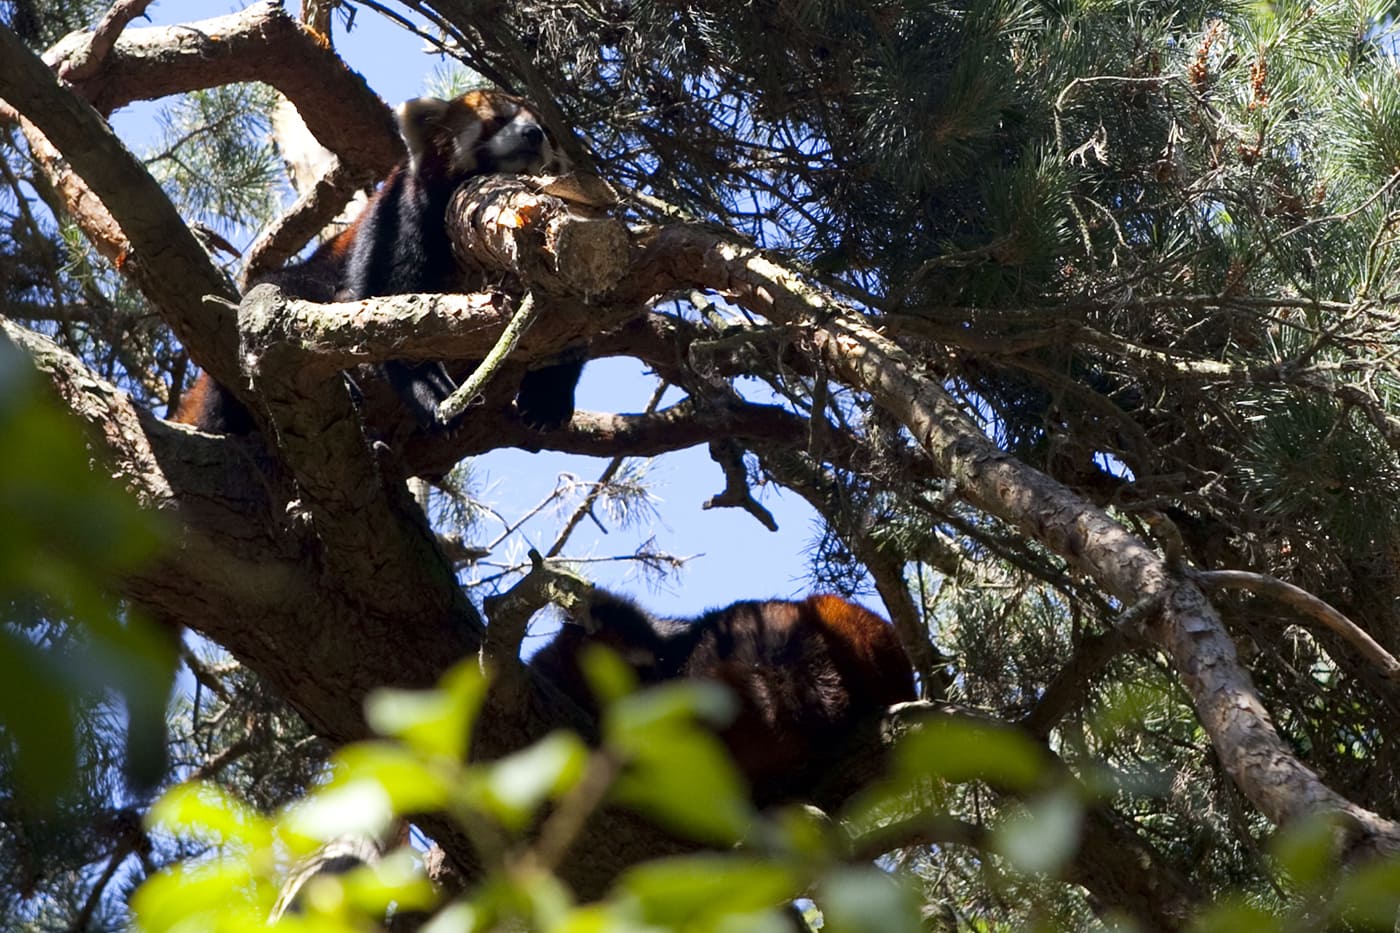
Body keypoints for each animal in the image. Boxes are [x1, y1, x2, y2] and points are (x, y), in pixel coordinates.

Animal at [173, 88, 579, 434]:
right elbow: (392, 307)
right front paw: (429, 388)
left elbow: (566, 322)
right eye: (498, 118)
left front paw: (548, 394)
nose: (532, 134)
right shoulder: (400, 218)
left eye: (547, 130)